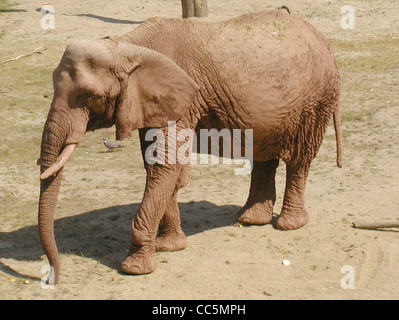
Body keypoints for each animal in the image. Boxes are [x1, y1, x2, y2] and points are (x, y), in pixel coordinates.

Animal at [38, 10, 344, 284]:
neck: (127, 45)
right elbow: (159, 167)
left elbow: (165, 167)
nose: (53, 278)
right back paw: (250, 219)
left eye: (89, 96)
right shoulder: (154, 103)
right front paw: (169, 247)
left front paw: (135, 268)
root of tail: (324, 41)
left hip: (316, 99)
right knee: (264, 154)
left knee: (299, 158)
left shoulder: (181, 100)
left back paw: (288, 224)